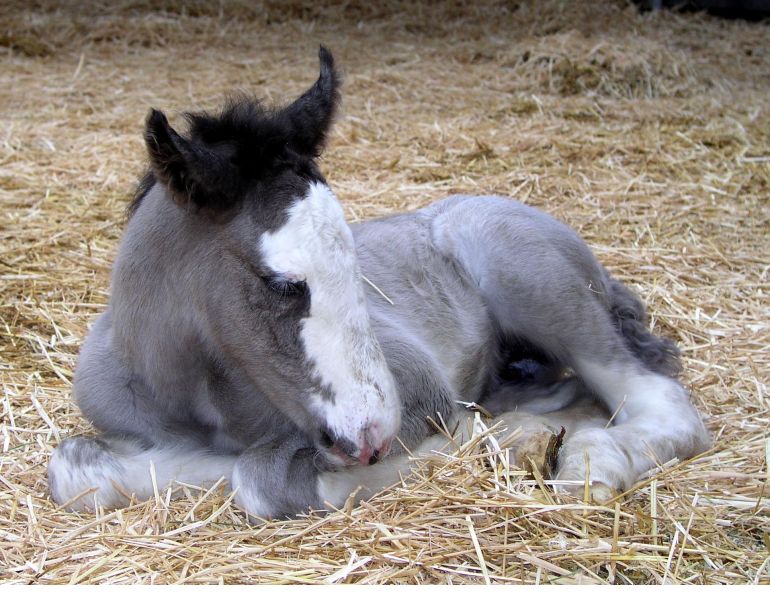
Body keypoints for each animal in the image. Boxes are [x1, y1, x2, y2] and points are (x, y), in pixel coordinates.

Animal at [48, 47, 710, 518]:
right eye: (281, 283)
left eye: (353, 264)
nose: (373, 433)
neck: (197, 394)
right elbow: (73, 467)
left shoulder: (420, 393)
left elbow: (257, 476)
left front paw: (487, 441)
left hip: (543, 288)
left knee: (661, 400)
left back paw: (588, 461)